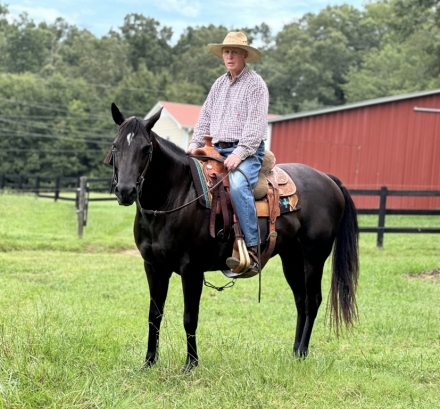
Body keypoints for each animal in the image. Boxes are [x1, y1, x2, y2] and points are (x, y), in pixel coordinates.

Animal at [107, 103, 360, 372]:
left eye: (146, 149)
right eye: (115, 146)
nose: (125, 191)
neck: (176, 196)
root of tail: (327, 179)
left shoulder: (191, 269)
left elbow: (189, 317)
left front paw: (191, 364)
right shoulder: (154, 267)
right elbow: (154, 315)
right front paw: (149, 362)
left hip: (314, 257)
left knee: (312, 300)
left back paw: (302, 351)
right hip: (291, 257)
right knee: (301, 301)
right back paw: (295, 353)